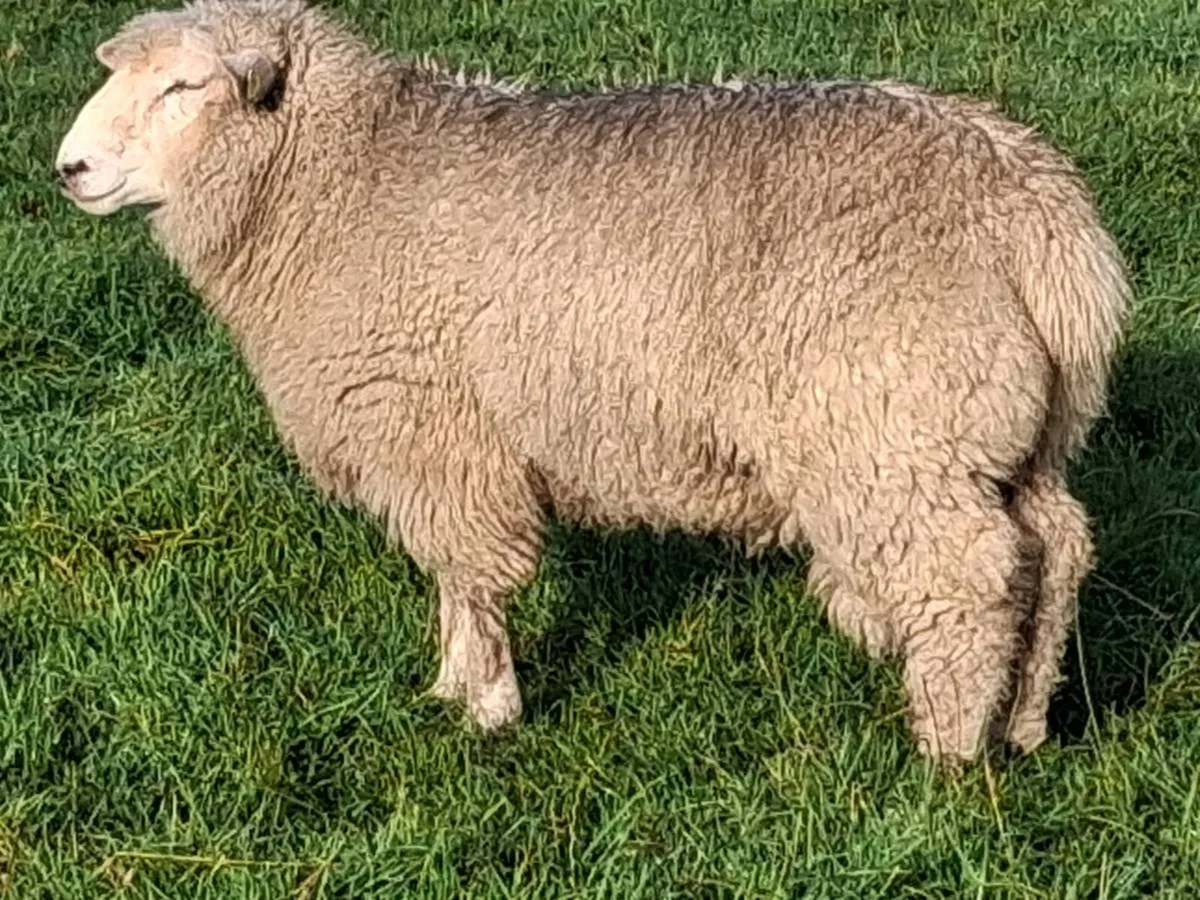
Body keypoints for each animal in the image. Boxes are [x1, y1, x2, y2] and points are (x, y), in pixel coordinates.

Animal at [54, 0, 1129, 764]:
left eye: (183, 87)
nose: (69, 169)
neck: (339, 181)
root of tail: (1038, 217)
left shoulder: (431, 426)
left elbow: (470, 574)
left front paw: (486, 708)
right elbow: (454, 579)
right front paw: (450, 686)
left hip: (893, 433)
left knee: (968, 580)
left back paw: (947, 755)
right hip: (1003, 431)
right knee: (1054, 554)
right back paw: (1025, 725)